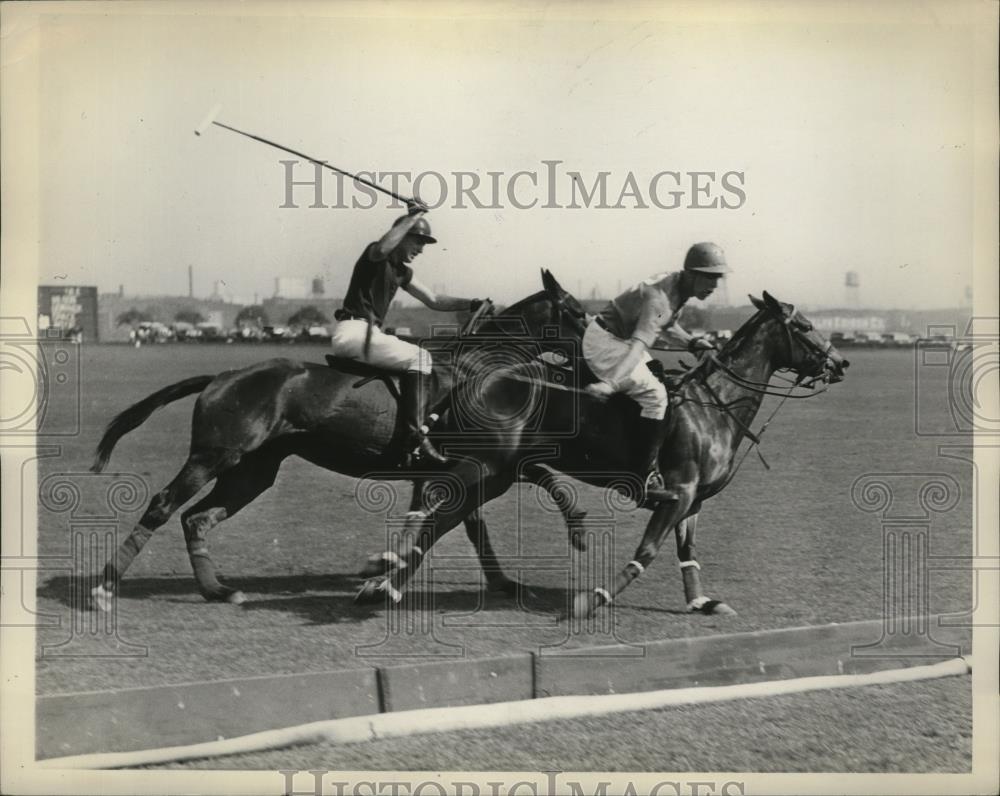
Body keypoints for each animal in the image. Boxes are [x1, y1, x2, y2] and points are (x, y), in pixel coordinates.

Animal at [90, 274, 588, 608]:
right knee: (164, 505)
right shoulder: (476, 464)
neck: (479, 370)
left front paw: (507, 581)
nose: (598, 362)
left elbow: (476, 519)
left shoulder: (464, 467)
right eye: (580, 313)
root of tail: (219, 377)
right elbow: (473, 511)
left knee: (197, 518)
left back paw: (218, 590)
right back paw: (102, 588)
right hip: (215, 454)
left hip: (253, 470)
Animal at [356, 292, 848, 616]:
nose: (840, 362)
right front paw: (592, 599)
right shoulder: (678, 492)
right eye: (805, 327)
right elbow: (647, 551)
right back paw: (387, 579)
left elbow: (687, 550)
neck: (716, 405)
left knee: (447, 515)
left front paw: (702, 600)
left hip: (496, 472)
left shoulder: (695, 500)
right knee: (439, 514)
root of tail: (471, 379)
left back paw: (389, 578)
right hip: (486, 465)